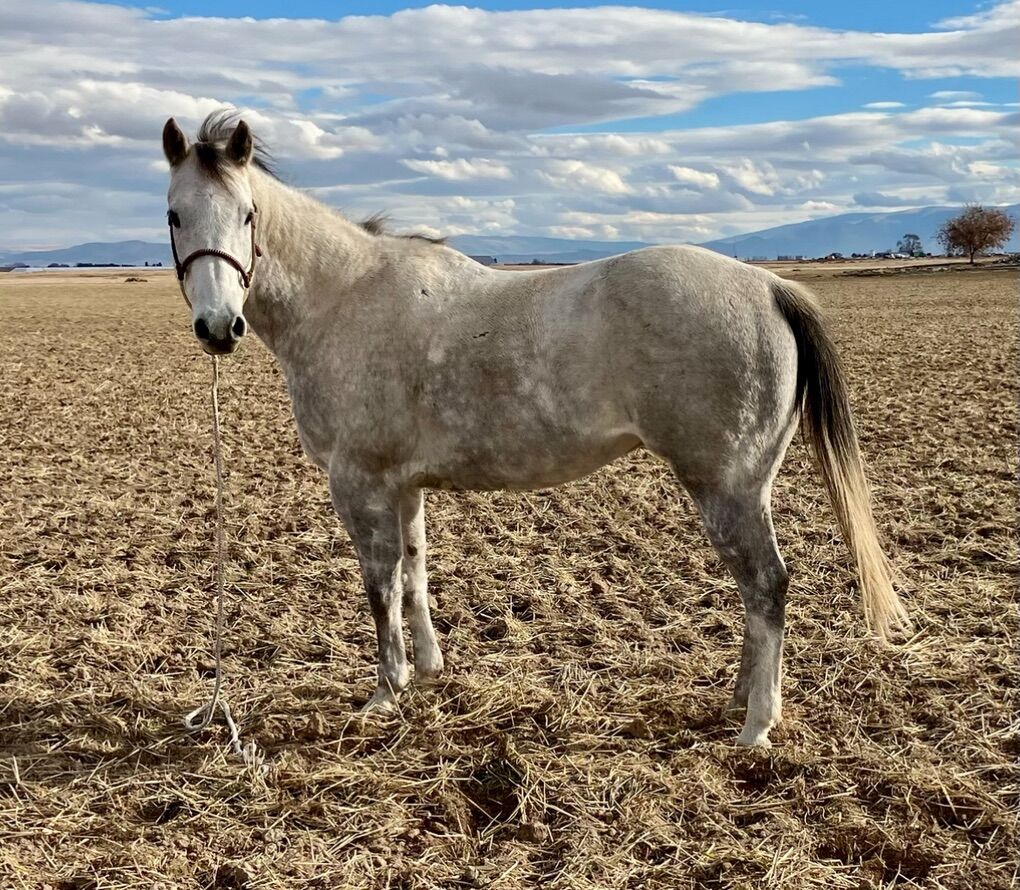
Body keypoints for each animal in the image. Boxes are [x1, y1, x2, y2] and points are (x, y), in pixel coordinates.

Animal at [161, 111, 908, 747]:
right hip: (751, 486)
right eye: (175, 214)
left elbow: (379, 585)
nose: (219, 328)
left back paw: (756, 725)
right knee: (757, 591)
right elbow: (414, 571)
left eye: (249, 214)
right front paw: (428, 670)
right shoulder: (404, 486)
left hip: (724, 487)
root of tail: (769, 288)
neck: (343, 296)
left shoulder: (358, 483)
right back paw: (737, 699)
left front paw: (385, 691)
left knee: (766, 585)